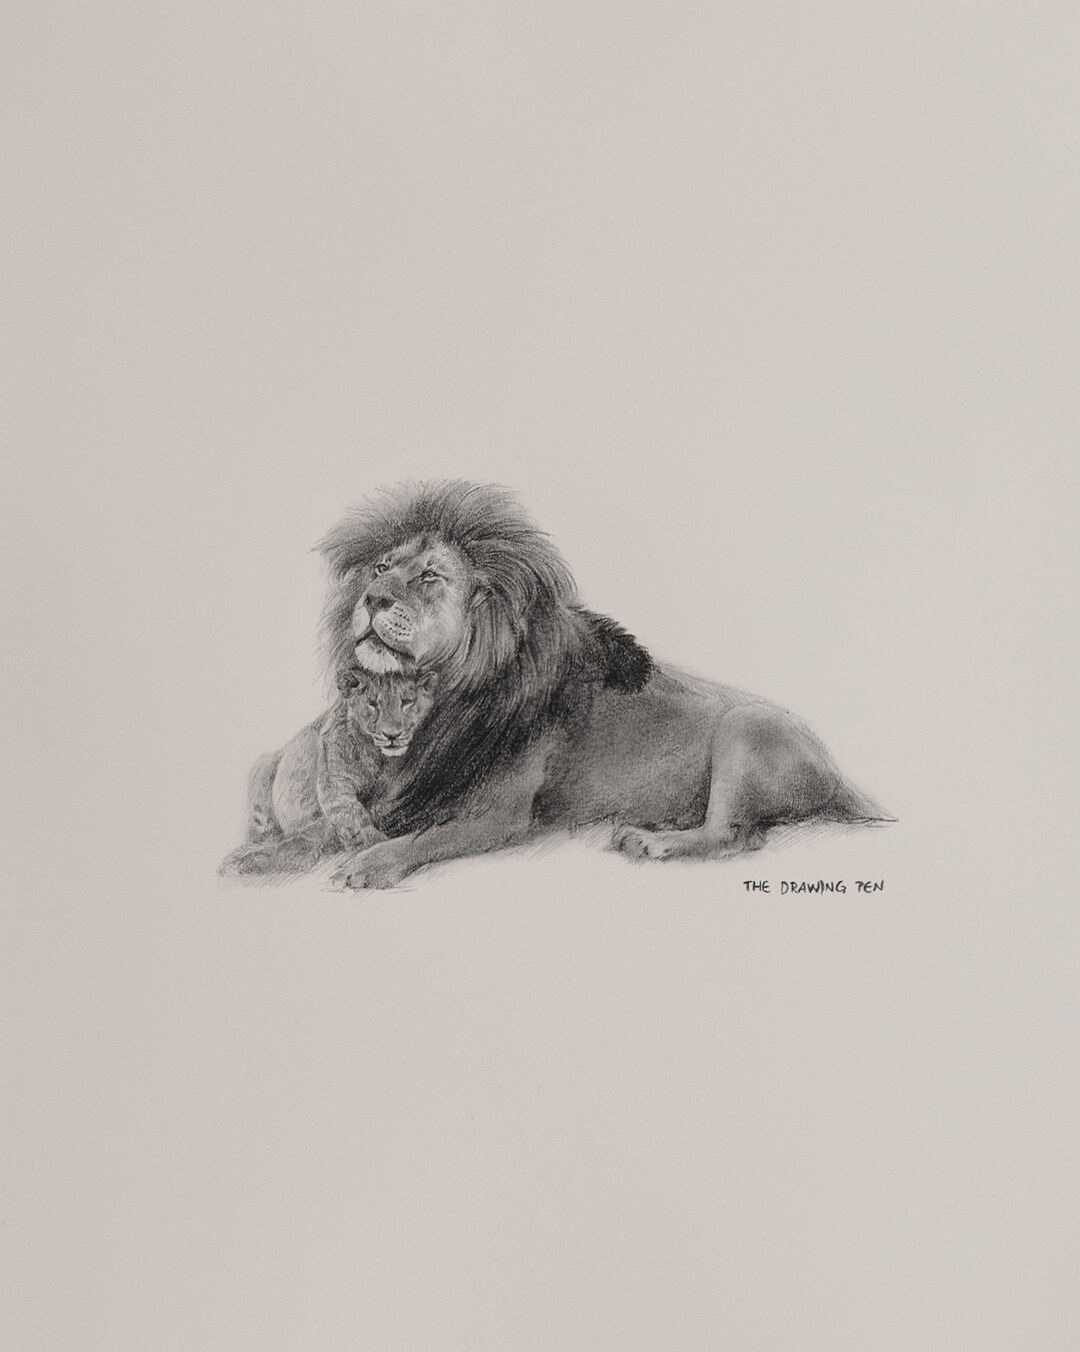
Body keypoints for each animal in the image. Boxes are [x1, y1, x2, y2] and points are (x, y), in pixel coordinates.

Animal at [219, 667, 437, 878]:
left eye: (407, 702)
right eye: (372, 703)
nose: (392, 735)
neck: (377, 755)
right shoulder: (334, 780)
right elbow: (352, 817)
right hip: (262, 768)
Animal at [307, 480, 891, 891]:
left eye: (429, 577)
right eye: (380, 568)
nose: (372, 598)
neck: (447, 695)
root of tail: (838, 778)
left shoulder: (498, 816)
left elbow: (420, 840)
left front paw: (369, 863)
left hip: (747, 727)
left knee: (729, 833)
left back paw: (650, 843)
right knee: (749, 834)